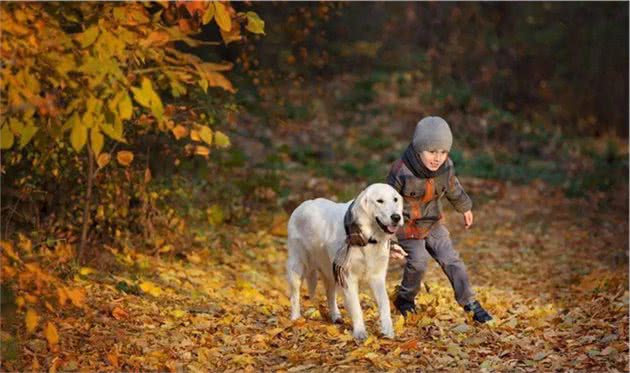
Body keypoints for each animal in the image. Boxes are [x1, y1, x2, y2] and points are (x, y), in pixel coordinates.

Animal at [288, 182, 404, 338]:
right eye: (379, 201)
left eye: (395, 199)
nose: (396, 217)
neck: (367, 238)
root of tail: (302, 205)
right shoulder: (348, 276)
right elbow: (356, 307)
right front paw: (360, 332)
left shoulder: (377, 276)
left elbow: (384, 303)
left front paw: (388, 331)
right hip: (297, 266)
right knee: (295, 295)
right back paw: (295, 318)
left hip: (330, 271)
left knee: (330, 294)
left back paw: (335, 316)